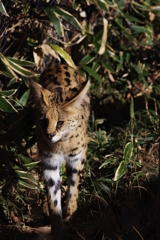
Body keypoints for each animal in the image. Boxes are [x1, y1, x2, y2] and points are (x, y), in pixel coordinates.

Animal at [29, 64, 90, 239]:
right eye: (43, 121)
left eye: (60, 122)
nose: (49, 135)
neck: (61, 143)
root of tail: (58, 64)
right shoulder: (50, 163)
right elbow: (53, 199)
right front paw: (56, 229)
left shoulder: (77, 156)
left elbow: (74, 184)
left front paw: (70, 210)